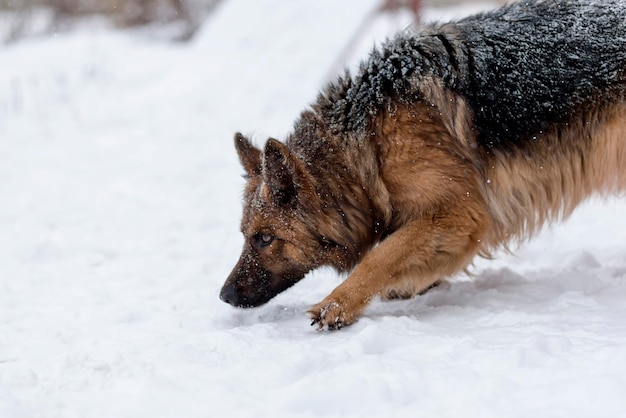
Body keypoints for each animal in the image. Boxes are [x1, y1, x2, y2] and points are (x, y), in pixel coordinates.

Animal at [221, 0, 624, 330]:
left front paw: (338, 303)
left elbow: (381, 255)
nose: (224, 295)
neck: (367, 143)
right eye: (245, 235)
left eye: (265, 239)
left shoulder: (457, 212)